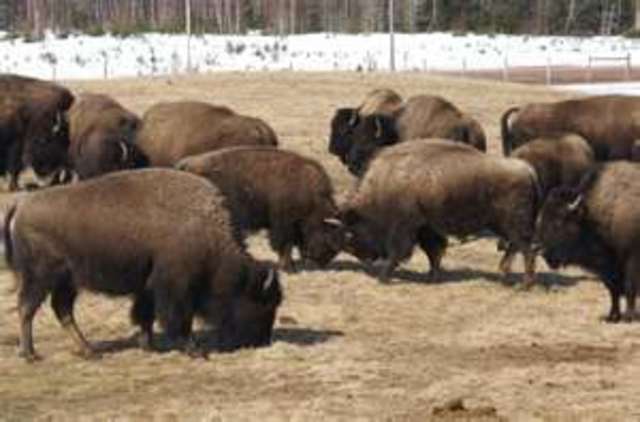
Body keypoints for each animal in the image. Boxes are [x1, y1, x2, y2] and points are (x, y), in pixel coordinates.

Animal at [5, 169, 283, 361]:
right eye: (262, 302)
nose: (262, 341)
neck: (208, 233)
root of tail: (21, 204)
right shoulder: (175, 289)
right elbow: (178, 320)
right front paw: (194, 350)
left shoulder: (148, 286)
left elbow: (145, 315)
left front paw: (148, 345)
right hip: (41, 277)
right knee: (28, 308)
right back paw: (31, 354)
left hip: (67, 281)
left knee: (62, 310)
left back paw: (89, 351)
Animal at [176, 147, 344, 271]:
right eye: (329, 236)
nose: (321, 263)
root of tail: (185, 165)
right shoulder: (283, 225)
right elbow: (285, 245)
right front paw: (288, 267)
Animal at [340, 140, 539, 284]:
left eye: (354, 228)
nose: (364, 256)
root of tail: (527, 170)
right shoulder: (426, 228)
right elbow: (433, 251)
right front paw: (432, 276)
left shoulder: (405, 228)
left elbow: (400, 251)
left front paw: (383, 277)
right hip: (504, 226)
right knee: (516, 247)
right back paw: (506, 275)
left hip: (512, 225)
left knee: (526, 249)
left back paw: (524, 284)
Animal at [534, 162, 640, 323]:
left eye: (559, 222)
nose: (542, 251)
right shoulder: (608, 268)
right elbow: (613, 290)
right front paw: (612, 316)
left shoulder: (631, 259)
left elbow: (629, 287)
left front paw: (629, 316)